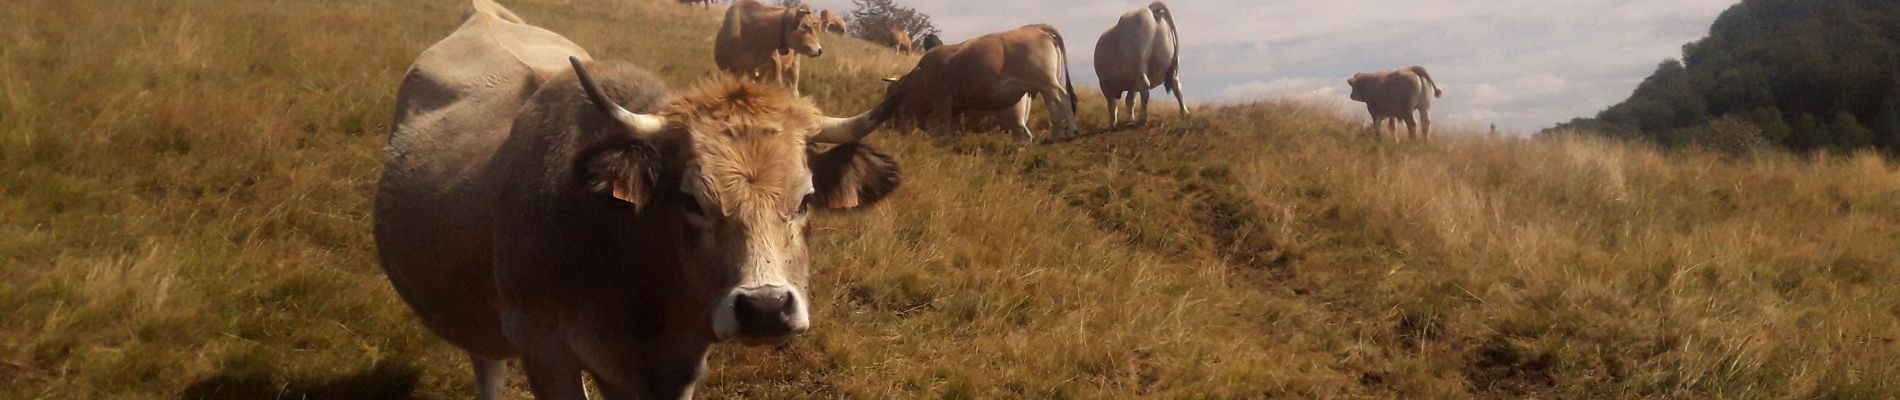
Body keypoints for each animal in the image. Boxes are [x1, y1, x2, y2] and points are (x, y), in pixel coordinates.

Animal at [877, 24, 1079, 143]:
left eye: (891, 92)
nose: (887, 123)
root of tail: (1037, 28)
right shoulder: (956, 106)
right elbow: (952, 125)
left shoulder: (943, 100)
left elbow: (944, 125)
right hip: (1044, 86)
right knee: (1053, 107)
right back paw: (1055, 136)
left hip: (1047, 83)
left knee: (1064, 99)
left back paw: (1071, 131)